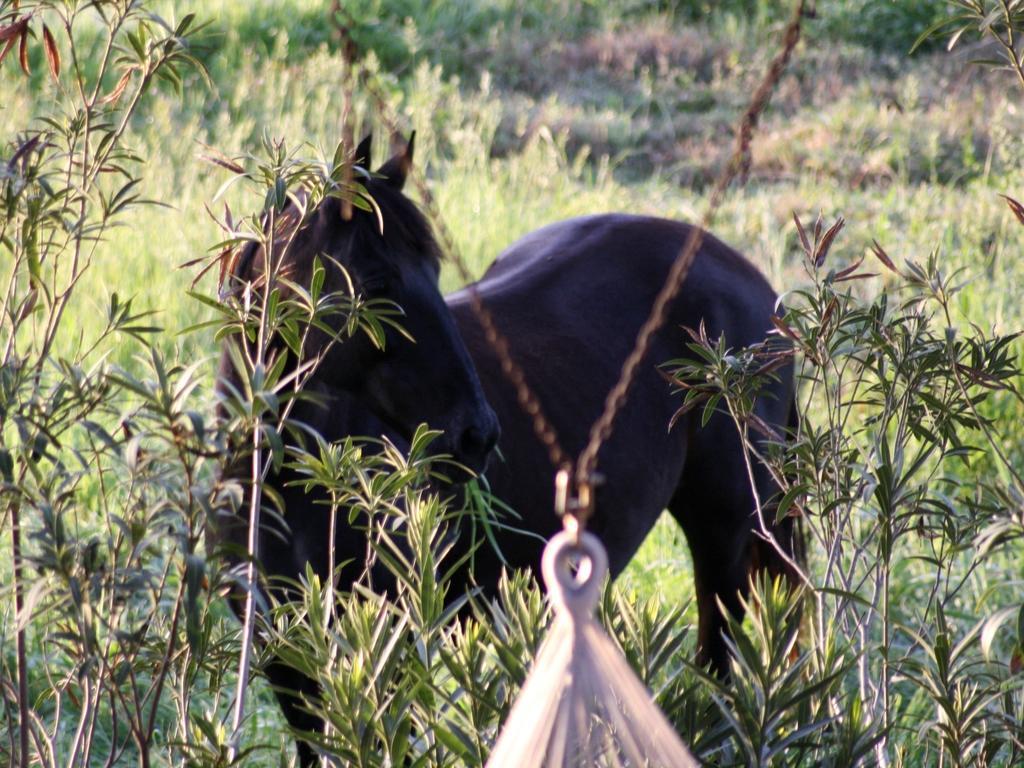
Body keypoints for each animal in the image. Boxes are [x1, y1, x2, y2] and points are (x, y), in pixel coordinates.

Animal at [216, 135, 798, 765]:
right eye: (376, 286)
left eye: (434, 272)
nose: (478, 434)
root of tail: (754, 283)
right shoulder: (287, 659)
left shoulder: (388, 646)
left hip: (726, 534)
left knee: (719, 664)